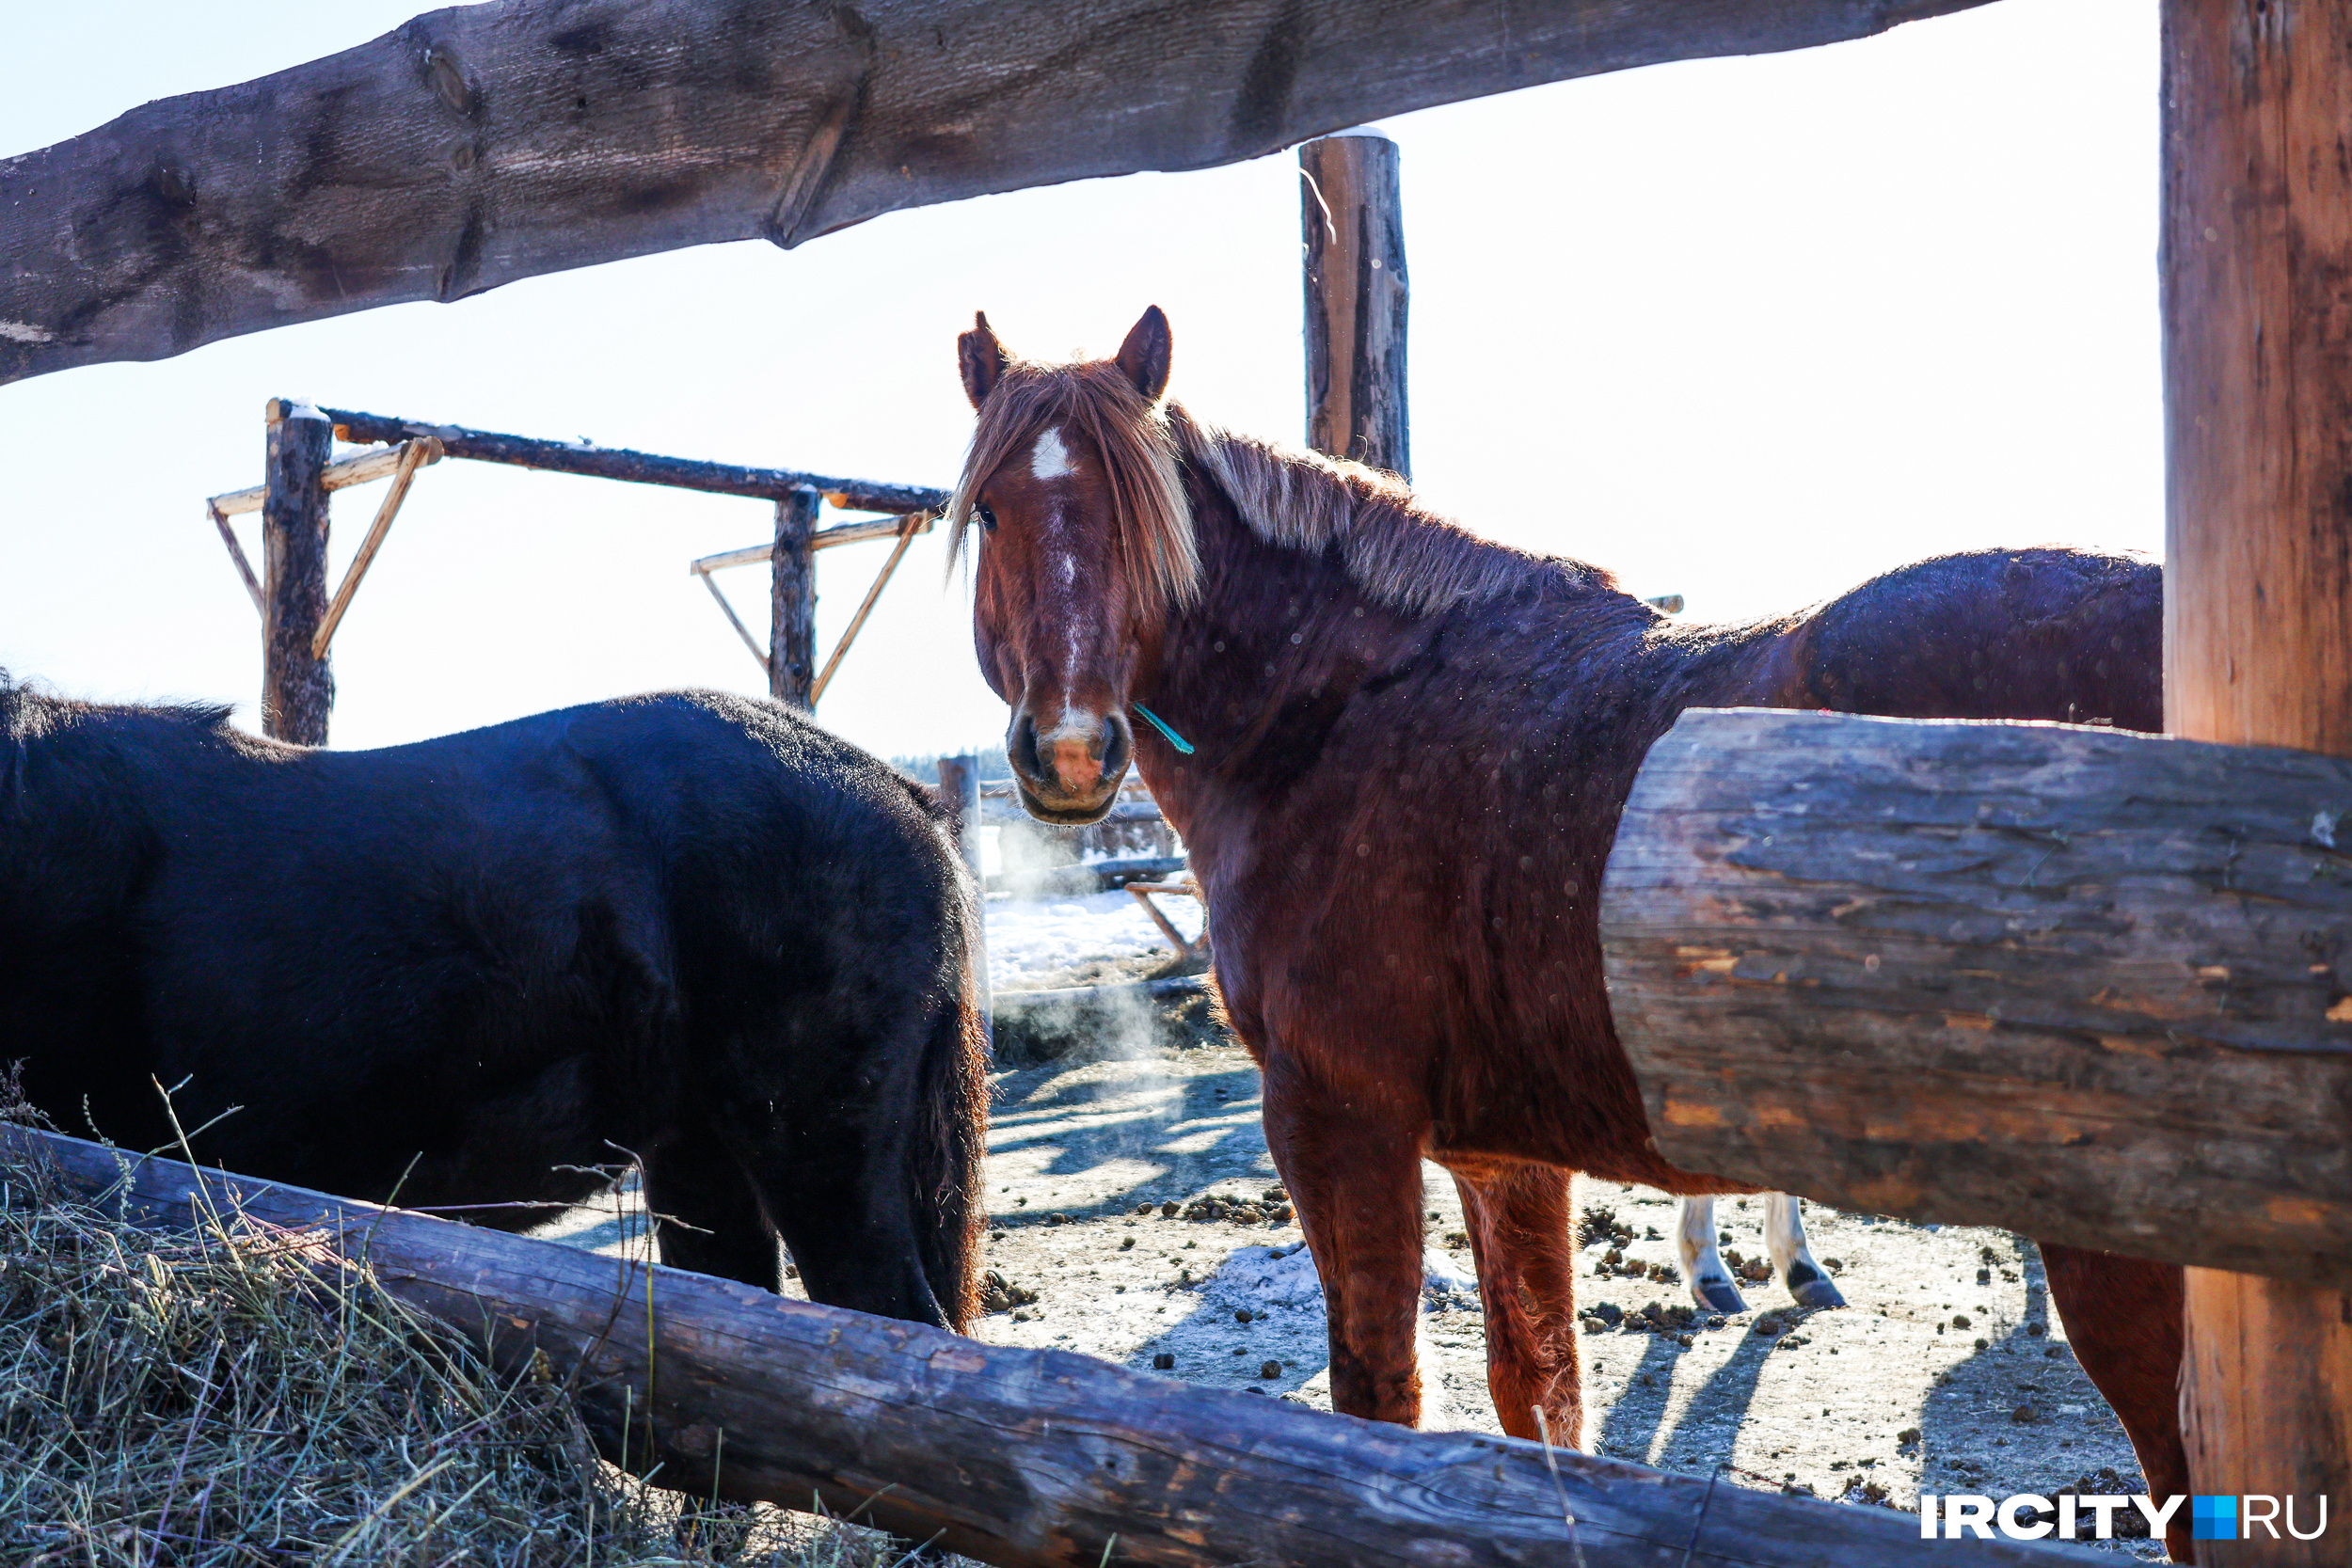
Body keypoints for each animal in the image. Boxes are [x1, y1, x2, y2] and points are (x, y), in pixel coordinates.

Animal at [950, 305, 2183, 1560]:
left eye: (1138, 513)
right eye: (991, 508)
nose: (1069, 751)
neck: (1336, 717)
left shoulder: (1336, 1119)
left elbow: (1378, 1394)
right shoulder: (1505, 1156)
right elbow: (1540, 1401)